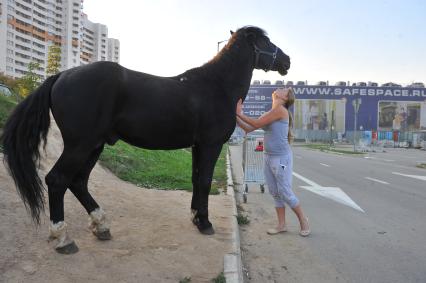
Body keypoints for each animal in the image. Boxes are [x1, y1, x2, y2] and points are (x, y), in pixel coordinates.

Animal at [1, 25, 290, 254]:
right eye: (265, 42)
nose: (287, 60)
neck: (216, 86)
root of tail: (61, 76)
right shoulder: (211, 145)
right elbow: (205, 181)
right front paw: (206, 223)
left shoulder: (198, 146)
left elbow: (196, 179)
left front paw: (196, 218)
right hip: (79, 145)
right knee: (57, 180)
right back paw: (63, 239)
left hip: (94, 145)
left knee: (78, 182)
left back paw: (101, 226)